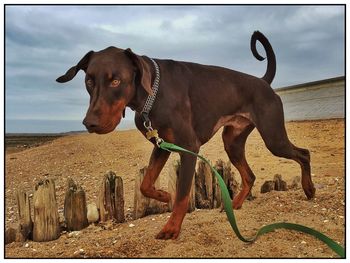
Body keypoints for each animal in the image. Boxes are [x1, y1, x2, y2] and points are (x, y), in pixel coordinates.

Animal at [56, 31, 316, 241]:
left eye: (116, 81)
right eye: (89, 81)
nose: (89, 123)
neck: (153, 92)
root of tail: (263, 82)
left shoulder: (189, 148)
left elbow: (182, 195)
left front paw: (171, 228)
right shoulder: (161, 145)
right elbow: (146, 184)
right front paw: (163, 195)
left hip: (273, 138)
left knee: (303, 154)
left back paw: (309, 189)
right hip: (232, 142)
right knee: (249, 176)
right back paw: (234, 204)